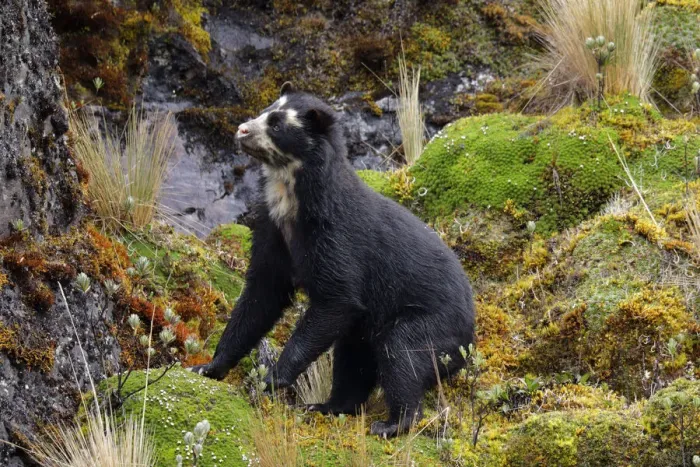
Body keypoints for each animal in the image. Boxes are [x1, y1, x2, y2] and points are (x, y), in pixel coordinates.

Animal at [192, 83, 475, 437]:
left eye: (276, 124)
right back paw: (327, 406)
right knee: (353, 361)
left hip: (431, 323)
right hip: (367, 329)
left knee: (403, 356)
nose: (242, 129)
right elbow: (261, 295)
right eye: (264, 110)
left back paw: (392, 423)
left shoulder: (335, 237)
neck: (293, 200)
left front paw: (272, 378)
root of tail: (471, 334)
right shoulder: (273, 231)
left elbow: (336, 298)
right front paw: (207, 367)